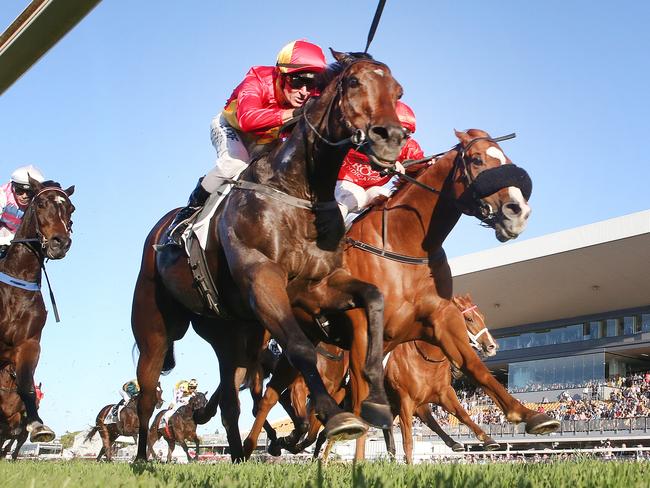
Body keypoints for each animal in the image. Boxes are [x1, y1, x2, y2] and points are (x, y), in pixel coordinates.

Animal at [243, 127, 556, 460]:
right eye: (476, 159)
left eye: (506, 159)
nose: (519, 211)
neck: (404, 244)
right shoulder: (363, 331)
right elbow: (368, 406)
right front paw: (358, 460)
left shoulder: (439, 321)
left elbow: (476, 369)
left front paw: (529, 415)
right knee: (271, 396)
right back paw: (257, 445)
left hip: (308, 338)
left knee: (277, 395)